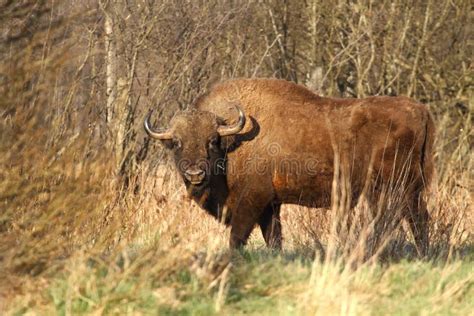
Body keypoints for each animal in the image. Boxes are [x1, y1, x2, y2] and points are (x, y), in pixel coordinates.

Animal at [144, 78, 434, 254]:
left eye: (212, 141)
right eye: (177, 142)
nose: (195, 174)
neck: (234, 143)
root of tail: (420, 110)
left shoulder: (252, 200)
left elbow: (238, 235)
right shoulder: (271, 206)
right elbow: (274, 237)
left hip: (397, 189)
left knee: (406, 219)